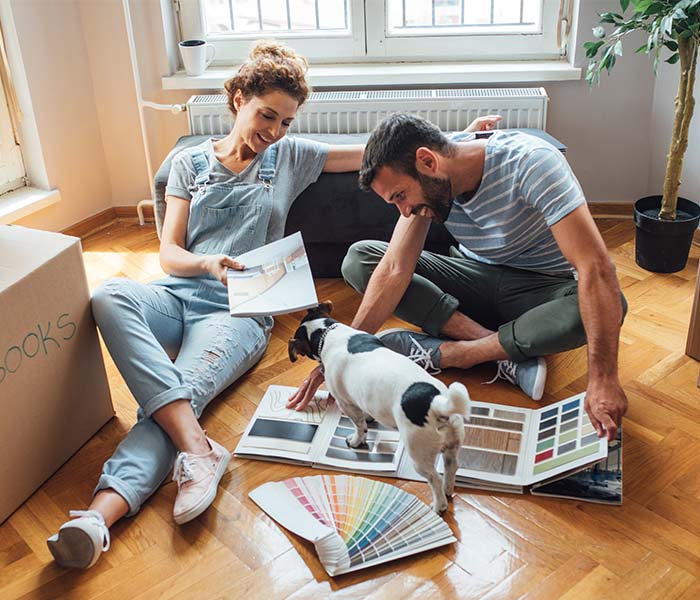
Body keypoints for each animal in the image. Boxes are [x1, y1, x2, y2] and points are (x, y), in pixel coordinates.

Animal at [288, 302, 474, 512]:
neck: (328, 333)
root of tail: (435, 403)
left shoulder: (346, 403)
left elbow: (359, 426)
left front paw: (356, 441)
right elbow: (366, 414)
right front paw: (369, 418)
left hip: (419, 454)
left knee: (434, 479)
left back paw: (438, 505)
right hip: (453, 444)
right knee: (451, 467)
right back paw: (448, 490)